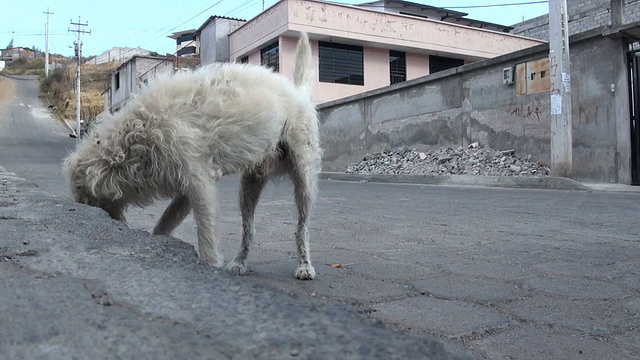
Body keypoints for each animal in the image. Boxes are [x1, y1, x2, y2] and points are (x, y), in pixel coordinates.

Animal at [63, 33, 322, 278]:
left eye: (88, 200)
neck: (136, 134)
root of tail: (298, 92)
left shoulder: (199, 181)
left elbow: (205, 232)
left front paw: (210, 264)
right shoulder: (185, 186)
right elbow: (165, 222)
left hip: (304, 177)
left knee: (302, 226)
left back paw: (305, 265)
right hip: (250, 185)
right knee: (249, 229)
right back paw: (239, 262)